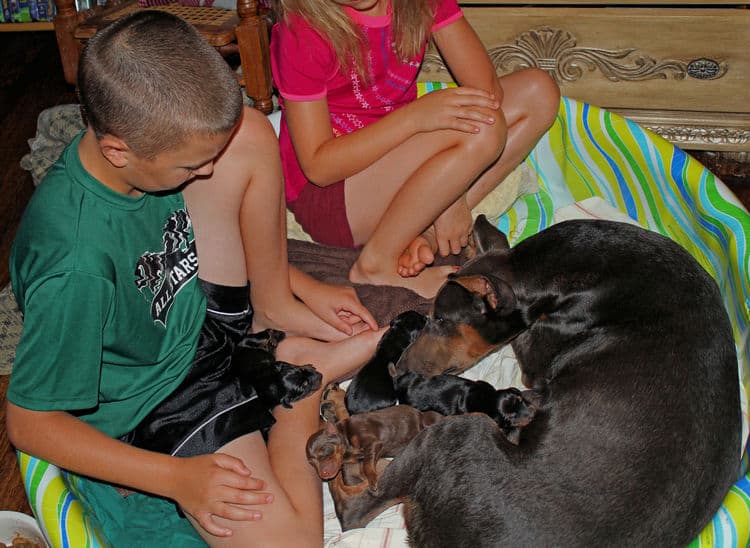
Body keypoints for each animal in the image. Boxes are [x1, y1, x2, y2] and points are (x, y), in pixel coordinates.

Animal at [306, 404, 444, 490]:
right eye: (311, 463)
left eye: (324, 452)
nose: (322, 475)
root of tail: (419, 412)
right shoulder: (356, 459)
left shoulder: (372, 443)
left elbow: (367, 465)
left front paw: (372, 480)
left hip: (428, 418)